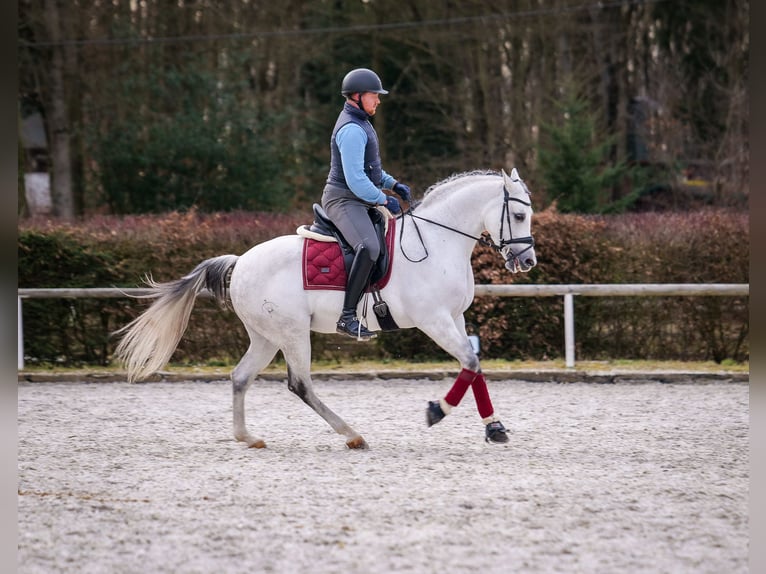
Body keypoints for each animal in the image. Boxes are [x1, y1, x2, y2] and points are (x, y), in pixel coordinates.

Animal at [114, 169, 536, 452]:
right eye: (518, 216)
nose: (527, 260)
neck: (437, 241)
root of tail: (241, 261)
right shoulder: (433, 320)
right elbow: (470, 362)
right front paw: (437, 411)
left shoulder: (456, 318)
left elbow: (473, 366)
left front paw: (494, 428)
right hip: (292, 333)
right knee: (300, 384)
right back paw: (352, 435)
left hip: (266, 337)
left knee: (240, 377)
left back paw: (247, 437)